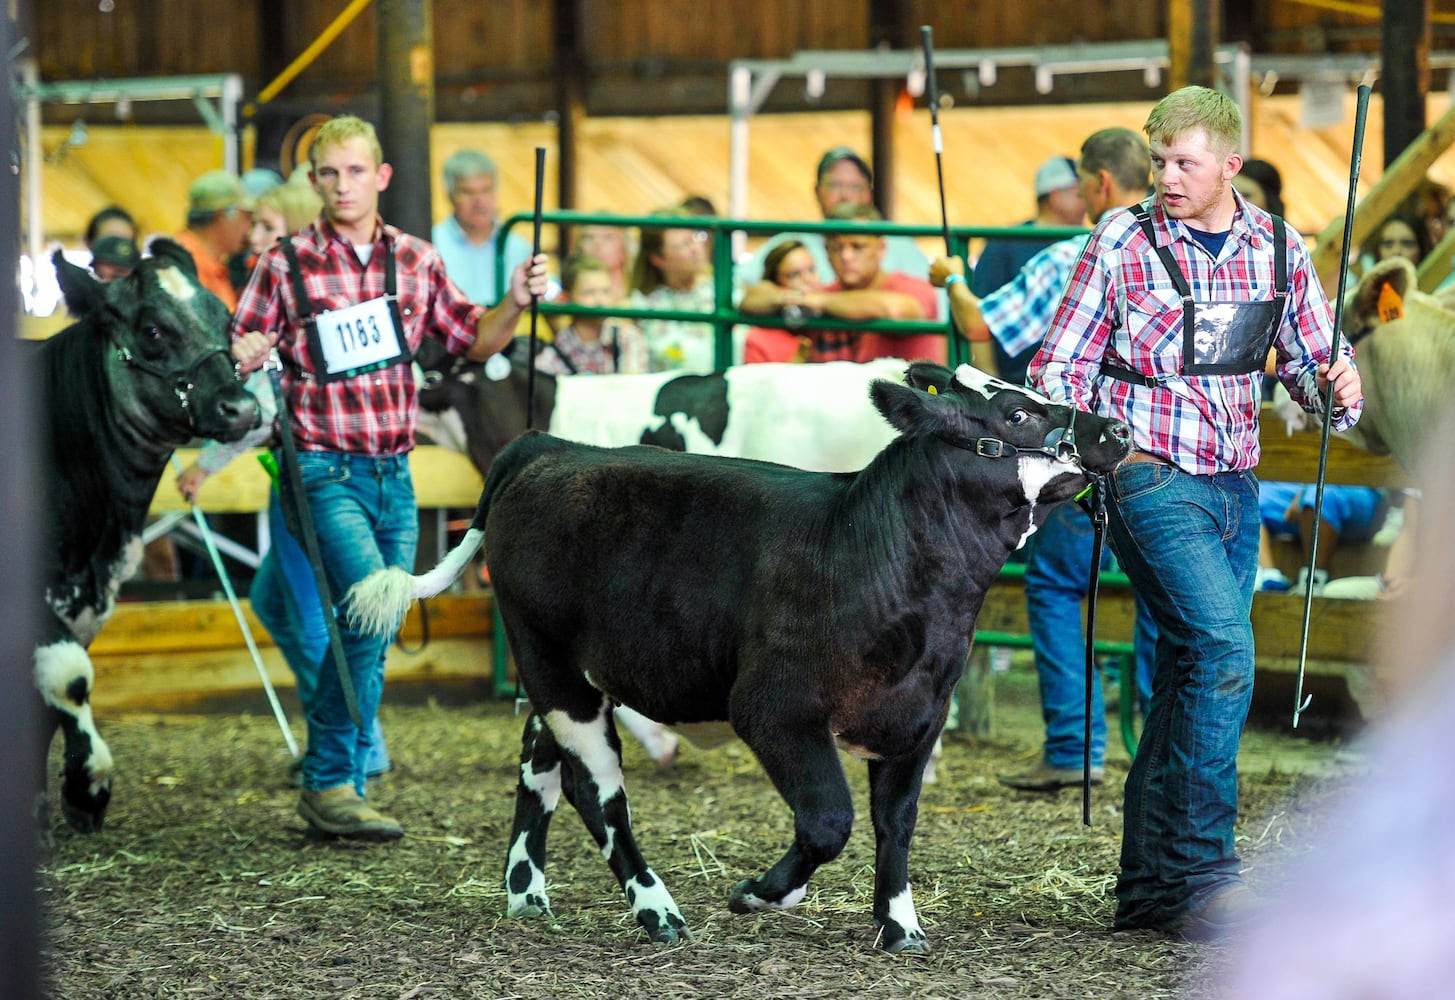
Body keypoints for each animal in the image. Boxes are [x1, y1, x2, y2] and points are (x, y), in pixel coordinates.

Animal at [36, 240, 261, 826]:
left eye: (226, 318)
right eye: (154, 330)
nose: (241, 407)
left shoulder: (87, 599)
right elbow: (69, 675)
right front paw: (88, 785)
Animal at [346, 362, 1129, 954]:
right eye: (1014, 413)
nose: (1114, 428)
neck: (874, 553)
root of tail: (548, 447)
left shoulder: (918, 718)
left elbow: (896, 824)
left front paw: (900, 925)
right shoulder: (774, 711)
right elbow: (829, 820)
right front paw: (763, 892)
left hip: (568, 676)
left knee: (538, 765)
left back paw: (528, 893)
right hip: (552, 667)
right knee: (596, 792)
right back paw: (655, 909)